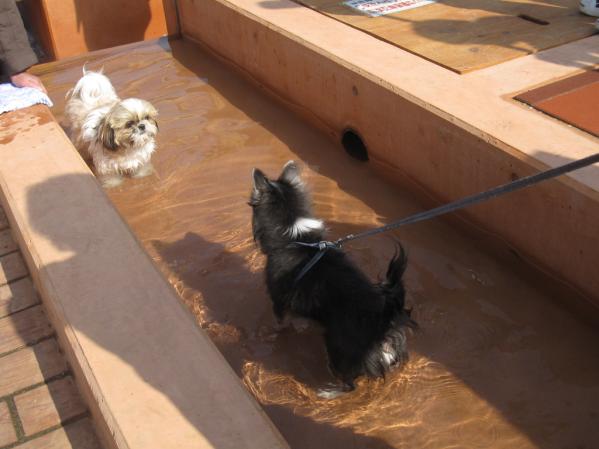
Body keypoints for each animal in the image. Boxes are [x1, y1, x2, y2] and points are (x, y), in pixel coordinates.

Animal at [250, 161, 418, 396]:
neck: (294, 238)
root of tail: (386, 319)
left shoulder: (278, 301)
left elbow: (280, 323)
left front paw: (273, 333)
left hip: (337, 348)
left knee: (349, 384)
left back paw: (328, 391)